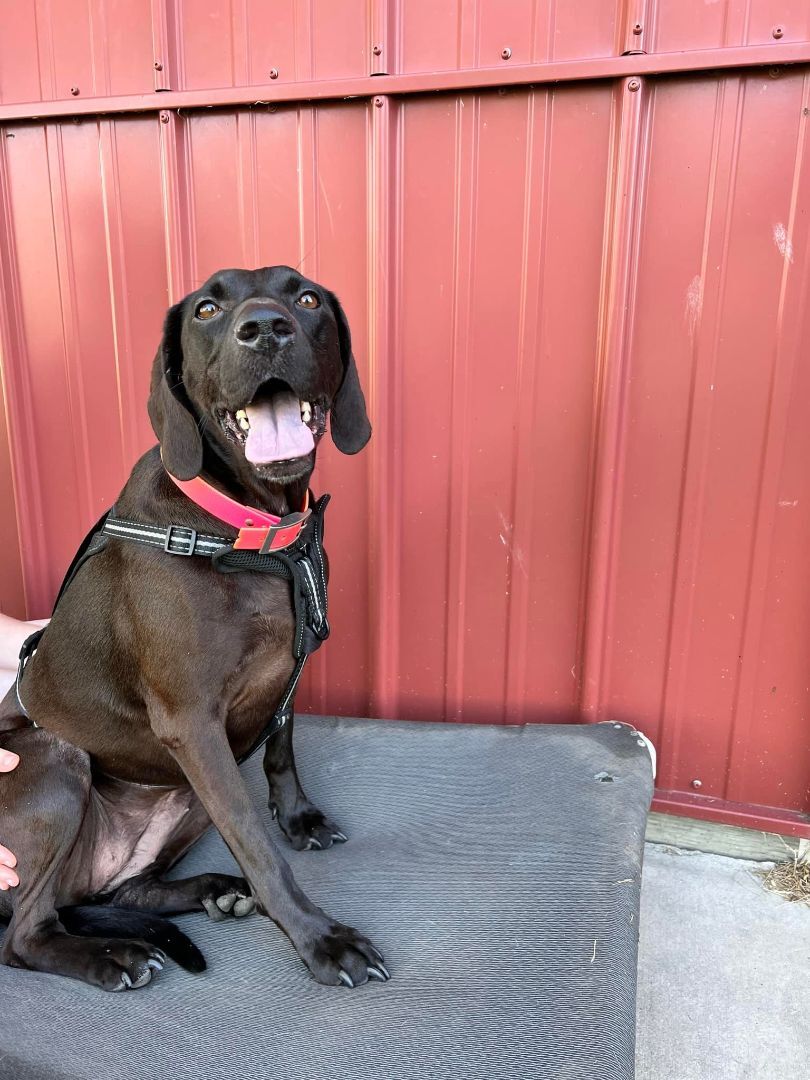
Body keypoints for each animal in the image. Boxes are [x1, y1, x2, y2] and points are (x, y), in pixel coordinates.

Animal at [0, 265, 390, 989]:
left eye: (306, 297)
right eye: (207, 309)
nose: (265, 328)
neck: (253, 532)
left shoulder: (281, 680)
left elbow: (281, 749)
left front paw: (300, 818)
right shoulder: (194, 727)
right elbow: (256, 843)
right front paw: (320, 938)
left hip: (181, 794)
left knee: (126, 890)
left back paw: (214, 891)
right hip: (60, 761)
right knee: (25, 936)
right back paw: (110, 955)